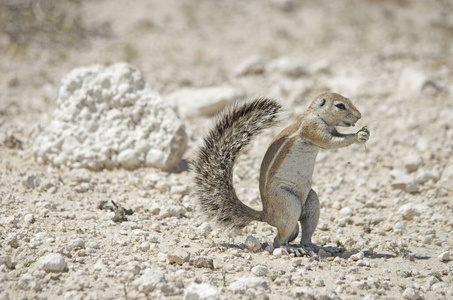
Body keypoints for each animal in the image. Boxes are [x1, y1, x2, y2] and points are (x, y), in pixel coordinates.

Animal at [192, 92, 370, 255]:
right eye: (340, 106)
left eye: (349, 100)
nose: (359, 116)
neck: (316, 115)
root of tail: (265, 215)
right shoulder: (313, 129)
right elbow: (331, 142)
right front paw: (358, 135)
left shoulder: (331, 129)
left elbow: (338, 137)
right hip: (288, 204)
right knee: (278, 241)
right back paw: (290, 248)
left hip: (311, 202)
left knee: (303, 235)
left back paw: (317, 246)